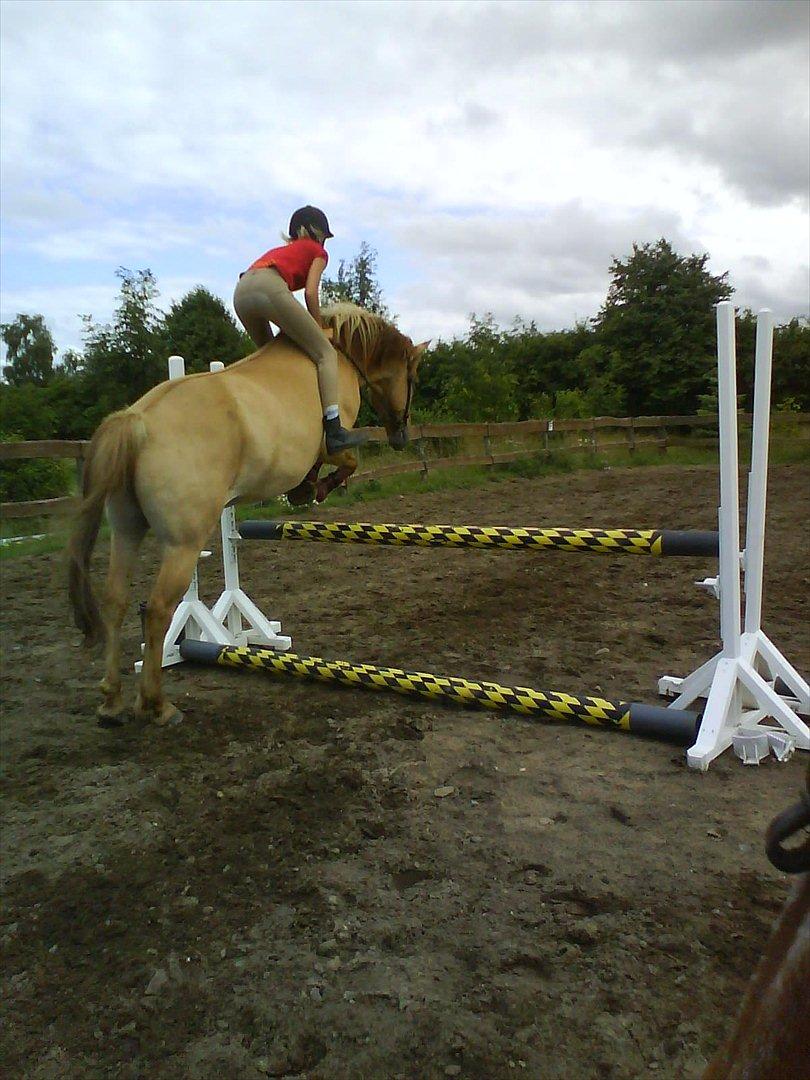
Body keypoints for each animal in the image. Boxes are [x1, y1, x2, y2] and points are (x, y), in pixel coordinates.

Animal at [68, 304, 432, 725]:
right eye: (413, 377)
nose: (401, 437)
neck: (340, 351)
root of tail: (137, 420)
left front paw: (305, 489)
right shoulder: (329, 445)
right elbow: (346, 461)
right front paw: (313, 488)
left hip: (127, 530)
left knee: (115, 601)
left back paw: (111, 701)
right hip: (183, 544)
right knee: (158, 610)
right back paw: (157, 705)